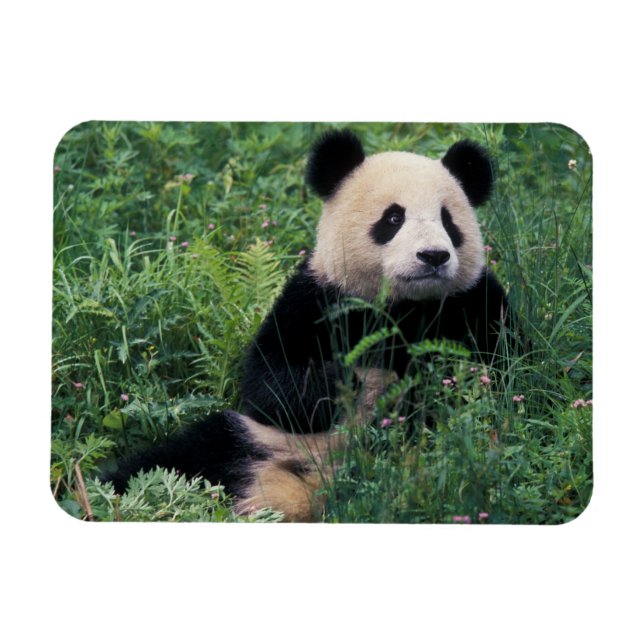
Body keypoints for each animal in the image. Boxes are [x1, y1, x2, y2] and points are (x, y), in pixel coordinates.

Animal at [105, 129, 510, 522]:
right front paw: (343, 380)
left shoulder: (475, 303)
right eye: (394, 218)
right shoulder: (316, 298)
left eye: (448, 221)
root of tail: (307, 493)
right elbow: (269, 382)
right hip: (255, 440)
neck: (403, 306)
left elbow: (505, 376)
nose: (433, 256)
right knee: (174, 461)